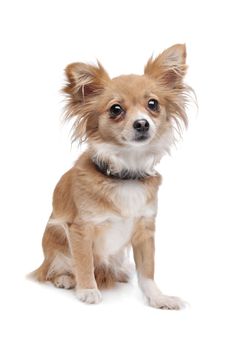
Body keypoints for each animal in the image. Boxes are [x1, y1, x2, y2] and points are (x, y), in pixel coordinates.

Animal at [32, 43, 191, 308]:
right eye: (116, 109)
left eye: (153, 104)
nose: (142, 123)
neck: (126, 173)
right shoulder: (80, 229)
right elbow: (84, 263)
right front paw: (88, 290)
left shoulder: (145, 229)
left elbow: (147, 271)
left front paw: (157, 298)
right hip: (55, 243)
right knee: (52, 270)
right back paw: (65, 278)